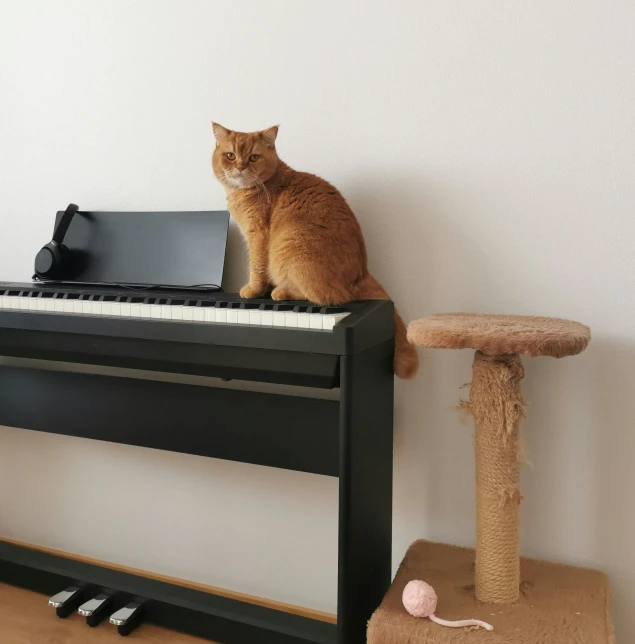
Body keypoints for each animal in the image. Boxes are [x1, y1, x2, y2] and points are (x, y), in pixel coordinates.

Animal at [211, 122, 420, 378]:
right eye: (230, 156)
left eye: (253, 157)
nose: (240, 167)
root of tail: (363, 270)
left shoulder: (257, 236)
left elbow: (257, 268)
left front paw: (253, 290)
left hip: (291, 247)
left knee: (327, 296)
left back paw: (281, 291)